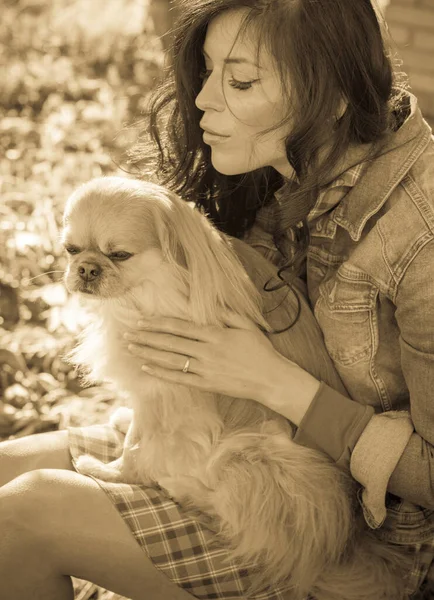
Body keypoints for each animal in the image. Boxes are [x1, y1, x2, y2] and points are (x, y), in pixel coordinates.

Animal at [62, 176, 408, 600]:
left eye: (120, 255)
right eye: (71, 249)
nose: (86, 268)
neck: (146, 293)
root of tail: (343, 545)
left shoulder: (168, 393)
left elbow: (136, 450)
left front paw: (110, 472)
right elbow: (139, 429)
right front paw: (124, 423)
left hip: (248, 453)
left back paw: (180, 485)